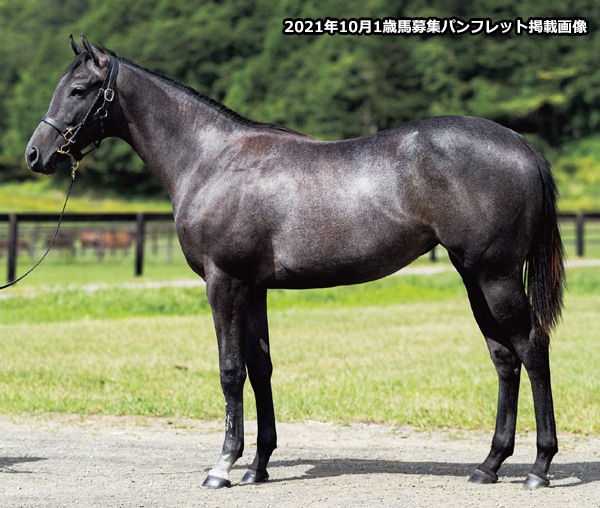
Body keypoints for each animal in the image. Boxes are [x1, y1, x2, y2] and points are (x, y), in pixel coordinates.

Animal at [25, 34, 564, 488]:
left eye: (78, 89)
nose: (35, 154)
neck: (210, 160)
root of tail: (522, 146)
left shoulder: (224, 283)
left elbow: (230, 370)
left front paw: (223, 466)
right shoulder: (254, 288)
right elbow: (260, 367)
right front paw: (258, 465)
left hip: (495, 277)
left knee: (533, 349)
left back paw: (539, 467)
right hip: (473, 276)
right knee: (504, 358)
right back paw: (489, 465)